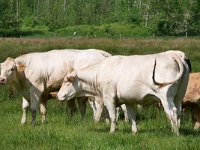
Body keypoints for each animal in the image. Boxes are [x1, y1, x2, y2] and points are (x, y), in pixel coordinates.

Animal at [56, 50, 191, 136]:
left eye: (66, 81)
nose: (58, 95)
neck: (101, 71)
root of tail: (173, 54)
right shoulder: (129, 100)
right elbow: (131, 116)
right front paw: (134, 131)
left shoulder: (109, 97)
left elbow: (112, 115)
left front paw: (112, 131)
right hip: (179, 96)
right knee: (179, 111)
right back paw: (177, 129)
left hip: (165, 97)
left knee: (172, 112)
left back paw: (175, 133)